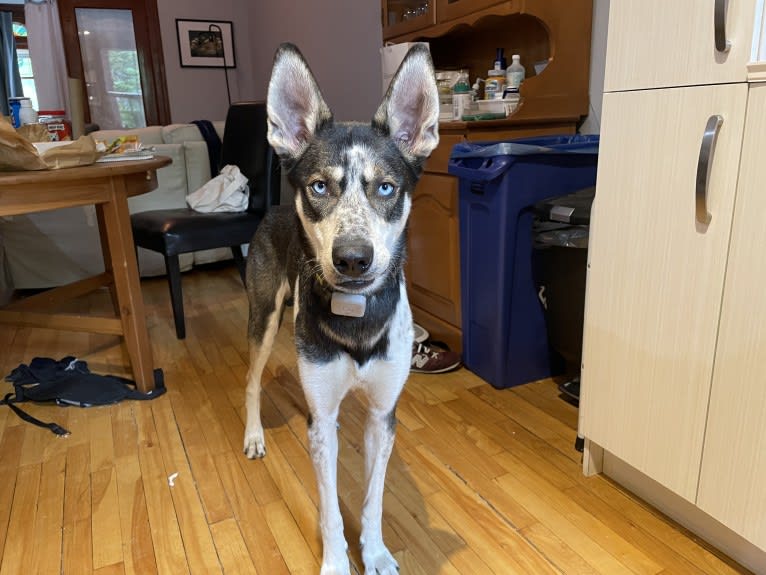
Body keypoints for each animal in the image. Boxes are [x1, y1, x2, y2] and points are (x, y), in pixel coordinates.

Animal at [243, 42, 440, 572]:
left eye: (386, 187)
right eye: (318, 186)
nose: (353, 258)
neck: (356, 317)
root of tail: (273, 207)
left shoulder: (382, 417)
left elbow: (373, 499)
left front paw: (375, 553)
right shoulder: (323, 426)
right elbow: (331, 508)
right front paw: (335, 561)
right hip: (264, 318)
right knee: (251, 382)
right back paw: (253, 435)